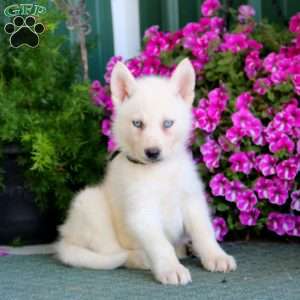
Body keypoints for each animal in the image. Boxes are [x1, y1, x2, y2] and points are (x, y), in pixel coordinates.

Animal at [55, 59, 236, 286]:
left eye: (167, 123)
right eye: (137, 123)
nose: (152, 152)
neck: (159, 170)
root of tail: (66, 238)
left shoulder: (192, 201)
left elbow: (204, 232)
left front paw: (216, 256)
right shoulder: (141, 213)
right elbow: (160, 244)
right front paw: (170, 268)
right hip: (90, 203)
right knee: (116, 253)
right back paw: (142, 259)